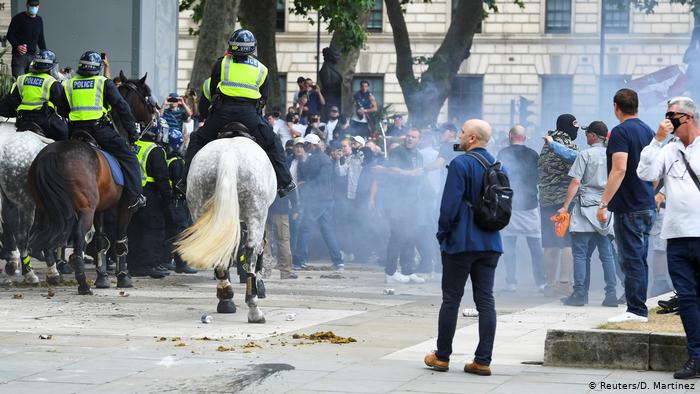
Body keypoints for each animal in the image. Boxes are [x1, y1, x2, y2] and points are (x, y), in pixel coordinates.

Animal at [28, 74, 156, 294]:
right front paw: (123, 277)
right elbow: (120, 240)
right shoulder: (124, 207)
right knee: (77, 240)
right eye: (146, 95)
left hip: (46, 209)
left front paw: (102, 277)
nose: (155, 124)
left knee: (43, 238)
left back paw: (53, 275)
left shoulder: (100, 209)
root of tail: (52, 155)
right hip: (83, 210)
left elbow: (101, 240)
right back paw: (82, 283)